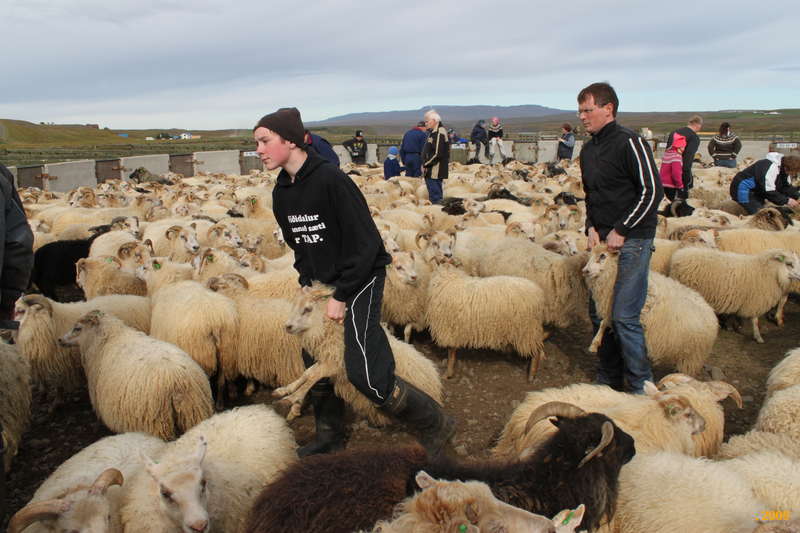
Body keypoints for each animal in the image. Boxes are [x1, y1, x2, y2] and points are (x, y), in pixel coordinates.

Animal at [59, 310, 214, 439]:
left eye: (77, 328)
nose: (60, 340)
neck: (109, 338)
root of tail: (179, 381)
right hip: (194, 414)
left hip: (157, 424)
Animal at [275, 284, 442, 426]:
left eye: (308, 309)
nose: (287, 326)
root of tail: (435, 380)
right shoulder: (330, 359)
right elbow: (308, 373)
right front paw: (284, 390)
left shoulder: (337, 364)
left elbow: (313, 377)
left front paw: (292, 398)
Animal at [584, 245, 718, 375]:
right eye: (590, 255)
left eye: (603, 256)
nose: (585, 271)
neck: (613, 275)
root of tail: (712, 314)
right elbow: (604, 322)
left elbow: (604, 323)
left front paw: (594, 344)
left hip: (692, 357)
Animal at [669, 248, 800, 342]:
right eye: (789, 264)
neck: (770, 272)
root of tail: (678, 256)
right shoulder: (755, 300)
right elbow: (755, 320)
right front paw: (758, 337)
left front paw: (734, 326)